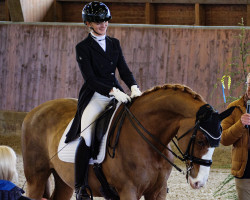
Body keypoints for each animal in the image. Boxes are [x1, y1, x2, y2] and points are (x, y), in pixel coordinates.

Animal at [21, 83, 234, 199]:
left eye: (217, 143)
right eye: (200, 140)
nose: (199, 182)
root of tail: (34, 111)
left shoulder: (157, 192)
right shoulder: (128, 191)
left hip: (64, 182)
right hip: (36, 178)